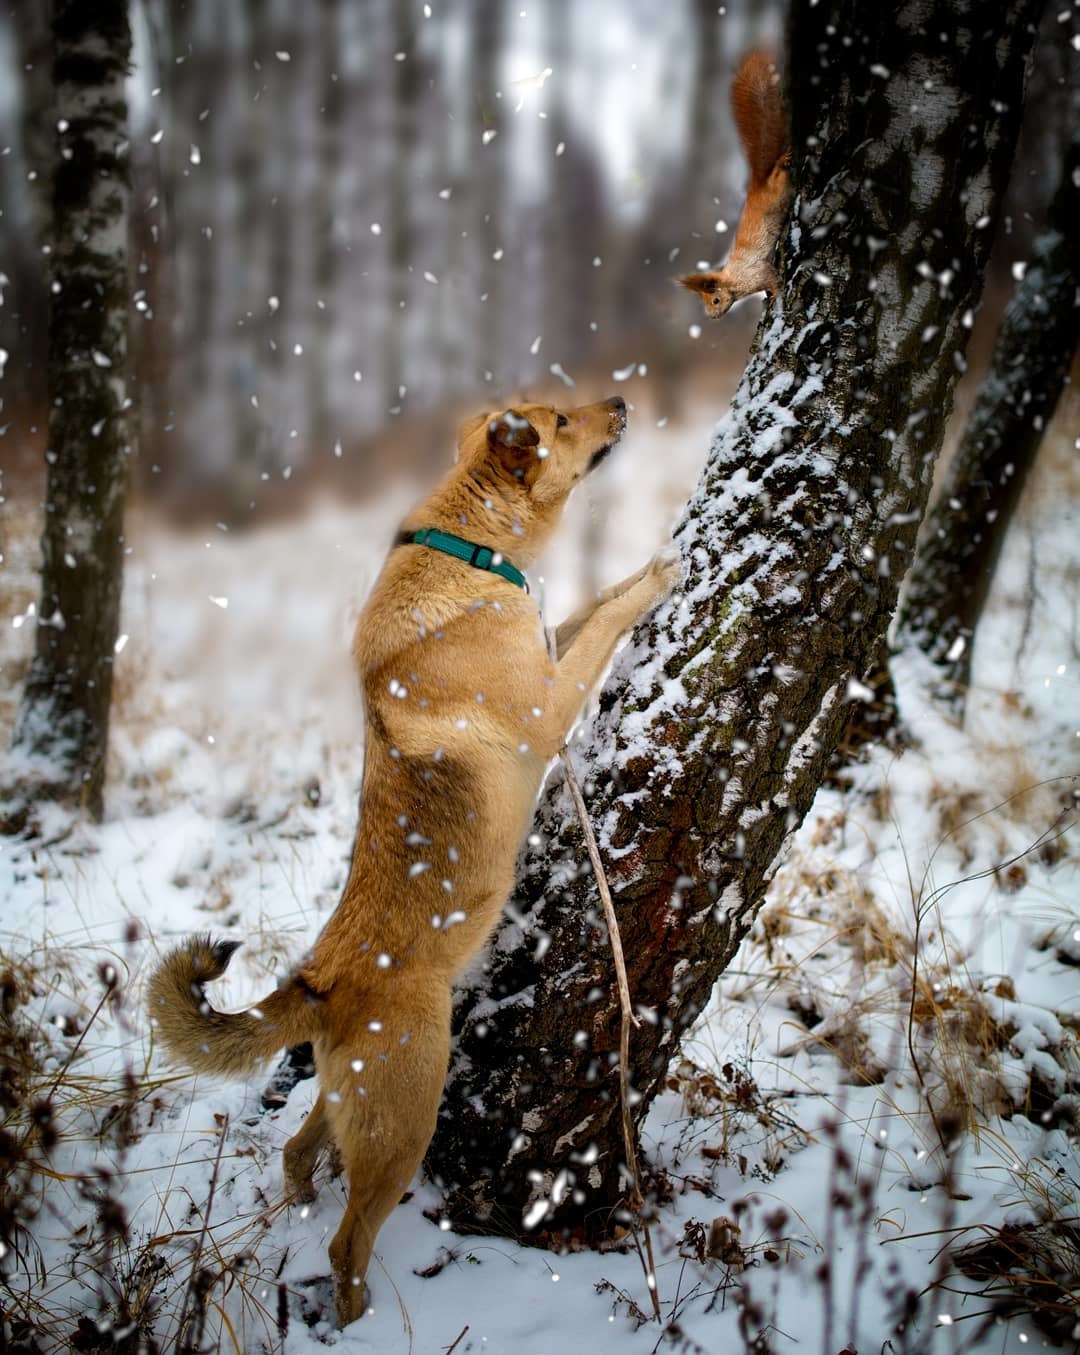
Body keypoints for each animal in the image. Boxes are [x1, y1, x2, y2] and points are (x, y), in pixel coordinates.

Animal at [147, 395, 677, 1327]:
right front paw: (658, 575)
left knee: (297, 1156)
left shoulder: (547, 647)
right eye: (562, 416)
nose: (619, 403)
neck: (467, 551)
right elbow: (607, 621)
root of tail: (318, 981)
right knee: (347, 1240)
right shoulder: (549, 706)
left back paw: (300, 1214)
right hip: (406, 1118)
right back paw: (355, 1316)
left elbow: (590, 605)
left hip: (354, 1104)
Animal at [677, 49, 785, 318]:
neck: (734, 279)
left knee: (779, 177)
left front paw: (776, 297)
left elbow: (772, 280)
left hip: (776, 191)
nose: (712, 317)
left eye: (714, 300)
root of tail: (758, 183)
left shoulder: (755, 273)